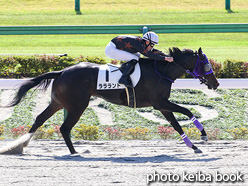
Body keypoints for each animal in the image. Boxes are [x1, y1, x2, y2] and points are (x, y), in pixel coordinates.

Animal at [7, 47, 219, 154]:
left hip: (58, 102)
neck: (161, 71)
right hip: (77, 105)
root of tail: (62, 71)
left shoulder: (162, 105)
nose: (215, 83)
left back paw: (20, 145)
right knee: (64, 128)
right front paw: (203, 135)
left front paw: (193, 146)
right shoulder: (160, 103)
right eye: (206, 64)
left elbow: (176, 124)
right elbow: (187, 111)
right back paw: (75, 152)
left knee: (39, 119)